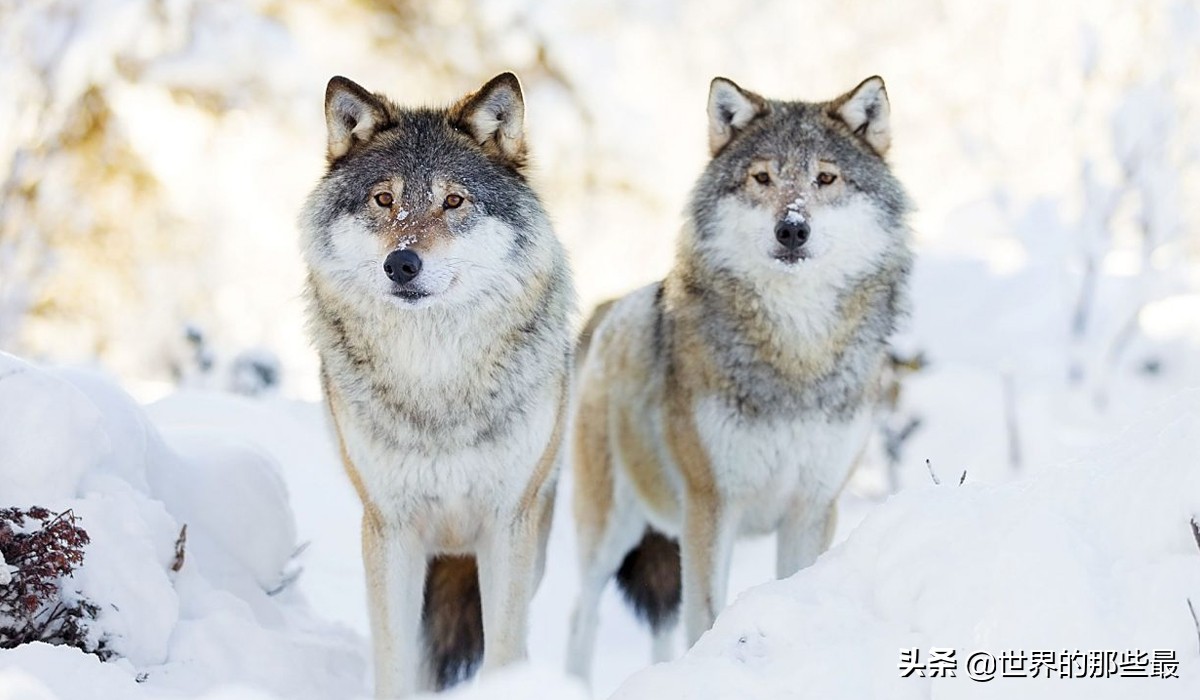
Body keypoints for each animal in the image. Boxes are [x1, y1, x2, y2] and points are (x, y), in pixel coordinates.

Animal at [304, 69, 576, 696]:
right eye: (384, 198)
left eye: (454, 200)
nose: (401, 264)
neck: (436, 381)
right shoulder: (389, 529)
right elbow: (395, 662)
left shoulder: (508, 524)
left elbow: (503, 650)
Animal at [566, 72, 912, 677]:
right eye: (762, 177)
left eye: (826, 177)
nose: (792, 228)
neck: (796, 353)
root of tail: (608, 314)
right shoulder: (712, 504)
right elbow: (706, 616)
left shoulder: (812, 507)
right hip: (609, 532)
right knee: (579, 619)